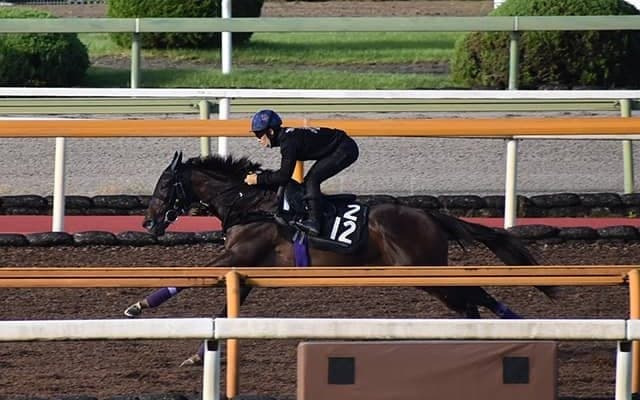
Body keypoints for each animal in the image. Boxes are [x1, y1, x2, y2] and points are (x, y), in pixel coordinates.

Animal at [126, 151, 556, 365]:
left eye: (165, 184)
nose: (147, 221)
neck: (250, 205)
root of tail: (430, 215)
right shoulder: (246, 266)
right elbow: (225, 311)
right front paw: (198, 355)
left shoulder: (239, 253)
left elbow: (186, 277)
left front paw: (136, 307)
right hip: (426, 275)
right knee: (471, 303)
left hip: (423, 271)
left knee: (476, 297)